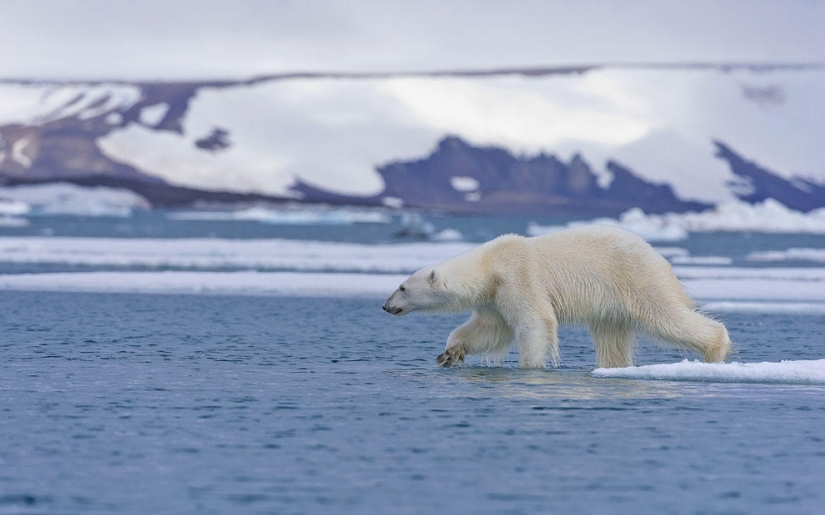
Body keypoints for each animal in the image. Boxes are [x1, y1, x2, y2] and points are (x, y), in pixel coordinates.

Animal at [384, 225, 732, 366]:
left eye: (402, 287)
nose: (386, 306)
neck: (490, 264)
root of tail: (661, 259)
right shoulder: (494, 298)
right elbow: (488, 329)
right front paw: (450, 353)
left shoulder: (518, 277)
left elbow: (534, 322)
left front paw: (530, 366)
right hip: (611, 304)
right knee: (612, 338)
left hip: (636, 279)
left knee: (664, 316)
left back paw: (715, 350)